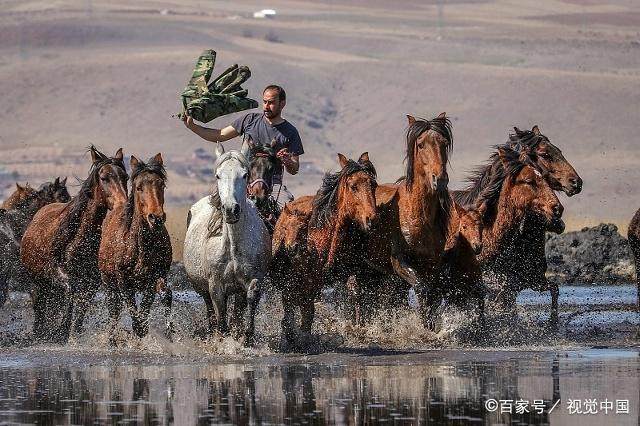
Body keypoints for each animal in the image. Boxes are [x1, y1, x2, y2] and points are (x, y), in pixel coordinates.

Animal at [20, 146, 127, 342]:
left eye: (126, 177)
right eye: (104, 178)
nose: (122, 205)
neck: (78, 238)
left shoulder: (92, 280)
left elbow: (83, 304)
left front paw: (73, 332)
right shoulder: (59, 273)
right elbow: (71, 293)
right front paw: (61, 331)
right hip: (39, 280)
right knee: (40, 304)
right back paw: (39, 332)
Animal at [98, 153, 172, 342]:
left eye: (161, 185)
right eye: (139, 187)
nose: (156, 218)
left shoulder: (153, 279)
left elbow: (143, 317)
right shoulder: (123, 281)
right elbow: (134, 315)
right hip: (108, 282)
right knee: (114, 311)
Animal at [182, 143, 270, 346]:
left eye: (244, 174)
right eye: (217, 175)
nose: (230, 210)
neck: (232, 247)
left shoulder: (252, 279)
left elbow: (250, 301)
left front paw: (246, 338)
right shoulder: (215, 285)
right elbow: (221, 320)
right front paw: (223, 341)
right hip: (202, 288)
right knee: (210, 311)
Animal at [268, 153, 378, 350]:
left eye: (373, 184)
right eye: (353, 186)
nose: (371, 220)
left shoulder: (349, 273)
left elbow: (355, 297)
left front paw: (357, 330)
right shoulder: (305, 280)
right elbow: (303, 309)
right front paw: (298, 339)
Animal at [456, 125, 580, 328]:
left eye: (559, 151)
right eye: (545, 154)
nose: (576, 182)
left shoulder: (531, 280)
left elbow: (554, 290)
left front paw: (552, 323)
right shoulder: (502, 286)